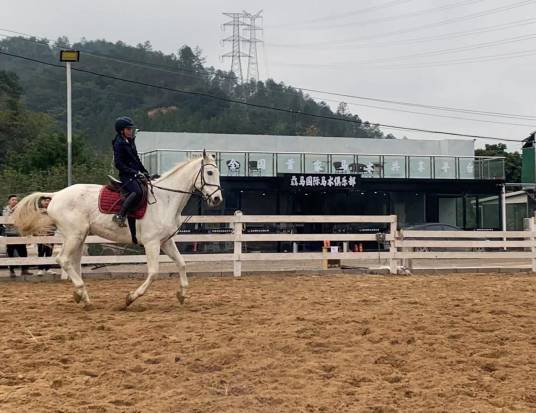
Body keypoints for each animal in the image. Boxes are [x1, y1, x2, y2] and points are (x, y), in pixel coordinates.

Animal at [13, 151, 222, 306]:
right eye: (210, 173)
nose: (217, 199)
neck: (165, 199)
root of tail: (56, 195)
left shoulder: (166, 241)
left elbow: (182, 263)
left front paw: (182, 294)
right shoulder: (152, 243)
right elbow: (153, 272)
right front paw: (131, 297)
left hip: (79, 237)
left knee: (74, 263)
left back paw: (83, 296)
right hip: (74, 235)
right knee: (63, 259)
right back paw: (80, 291)